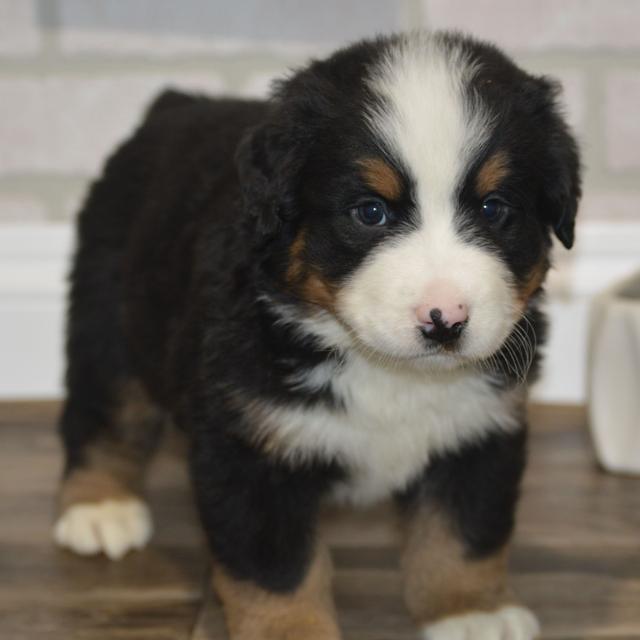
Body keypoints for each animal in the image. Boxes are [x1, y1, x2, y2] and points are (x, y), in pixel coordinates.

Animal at [53, 31, 580, 640]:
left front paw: (471, 611)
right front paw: (290, 628)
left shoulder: (479, 429)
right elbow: (278, 568)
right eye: (370, 212)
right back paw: (99, 507)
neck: (383, 369)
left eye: (495, 209)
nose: (444, 318)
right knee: (104, 413)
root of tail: (176, 104)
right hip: (110, 315)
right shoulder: (248, 444)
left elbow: (463, 533)